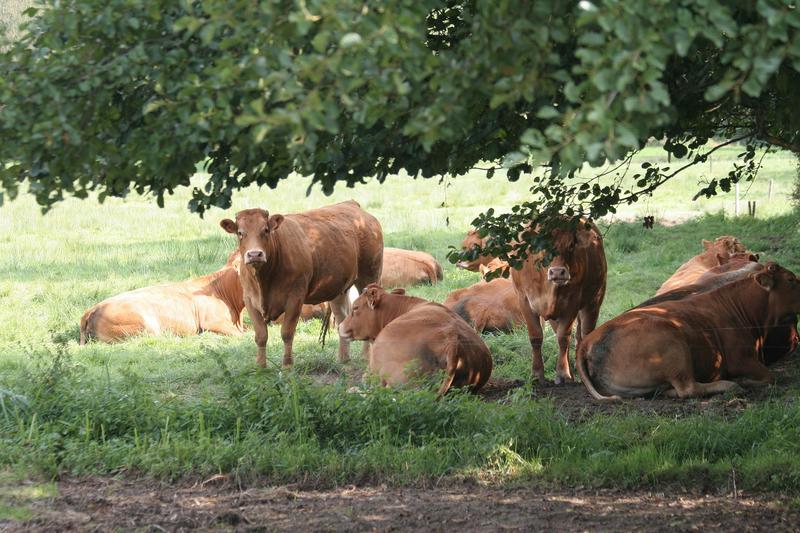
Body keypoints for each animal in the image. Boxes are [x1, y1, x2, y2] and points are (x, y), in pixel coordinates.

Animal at [220, 200, 383, 367]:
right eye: (240, 233)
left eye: (265, 230)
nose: (254, 254)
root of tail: (351, 204)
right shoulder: (250, 300)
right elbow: (260, 336)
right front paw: (260, 367)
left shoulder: (295, 297)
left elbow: (287, 332)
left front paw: (287, 365)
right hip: (338, 289)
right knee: (342, 318)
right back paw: (343, 358)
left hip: (369, 275)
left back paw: (365, 356)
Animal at [511, 219, 607, 385]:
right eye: (543, 245)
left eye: (571, 245)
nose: (557, 272)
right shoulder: (524, 300)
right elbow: (536, 337)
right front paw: (537, 374)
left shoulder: (573, 302)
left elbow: (563, 337)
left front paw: (563, 374)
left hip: (594, 300)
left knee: (584, 333)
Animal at [577, 262, 800, 400]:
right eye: (790, 279)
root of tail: (588, 341)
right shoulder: (741, 358)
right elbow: (770, 376)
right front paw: (745, 380)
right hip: (672, 344)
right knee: (688, 388)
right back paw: (730, 385)